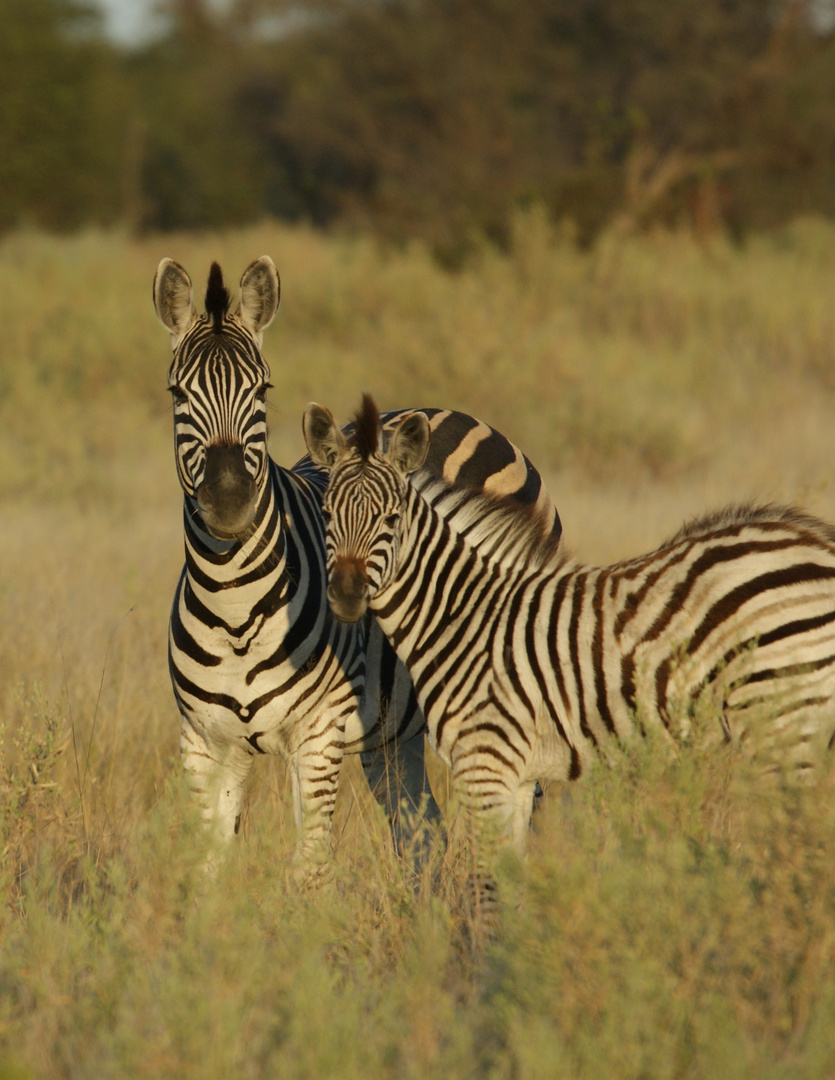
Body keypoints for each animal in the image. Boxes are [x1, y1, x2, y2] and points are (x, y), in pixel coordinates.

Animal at [154, 254, 561, 876]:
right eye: (178, 391)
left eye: (263, 387)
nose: (228, 501)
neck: (234, 608)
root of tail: (452, 412)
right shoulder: (205, 740)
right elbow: (203, 869)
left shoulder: (317, 736)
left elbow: (310, 868)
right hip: (392, 733)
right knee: (422, 837)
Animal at [302, 390, 833, 911]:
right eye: (325, 515)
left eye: (391, 519)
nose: (345, 596)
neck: (464, 612)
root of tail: (815, 543)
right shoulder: (514, 775)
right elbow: (506, 882)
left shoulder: (486, 761)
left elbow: (484, 888)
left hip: (782, 721)